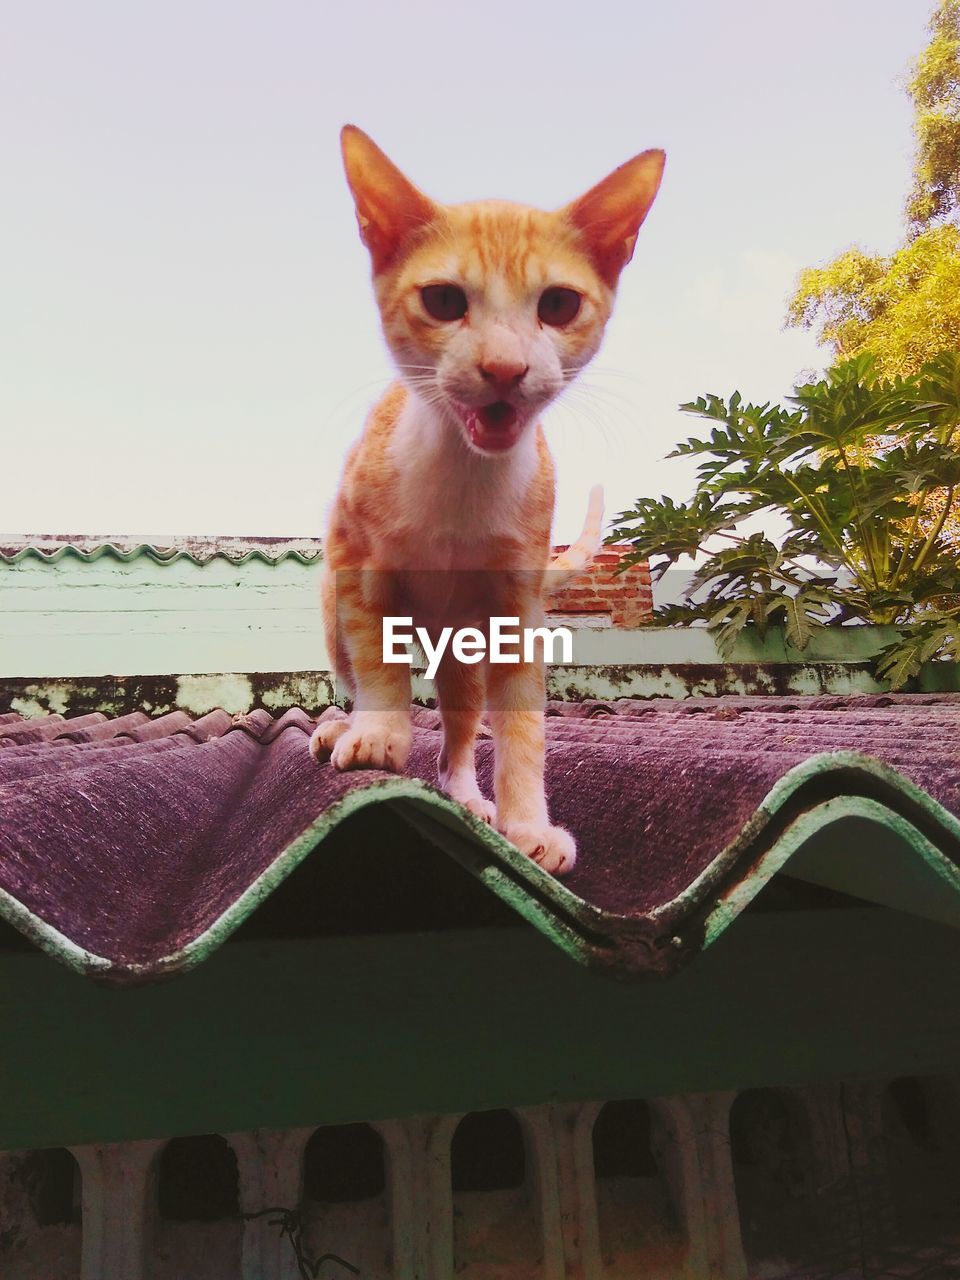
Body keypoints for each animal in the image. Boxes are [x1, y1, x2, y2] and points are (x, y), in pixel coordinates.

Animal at [312, 124, 665, 875]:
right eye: (444, 301)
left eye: (558, 305)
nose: (505, 368)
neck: (464, 475)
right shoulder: (357, 563)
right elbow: (377, 663)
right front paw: (378, 732)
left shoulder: (515, 608)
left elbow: (522, 724)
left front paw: (527, 823)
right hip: (332, 611)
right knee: (355, 667)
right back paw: (341, 726)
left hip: (466, 649)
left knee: (460, 726)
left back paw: (467, 795)